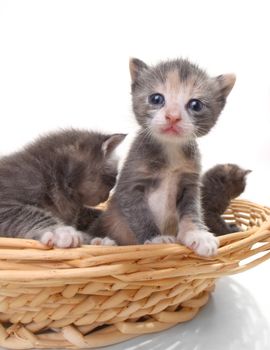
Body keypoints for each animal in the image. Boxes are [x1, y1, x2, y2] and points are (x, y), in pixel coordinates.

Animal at [91, 57, 236, 258]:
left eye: (196, 105)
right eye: (156, 99)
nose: (173, 117)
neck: (170, 150)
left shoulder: (190, 184)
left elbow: (191, 212)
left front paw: (197, 235)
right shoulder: (130, 184)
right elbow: (140, 215)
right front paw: (156, 239)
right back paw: (102, 242)